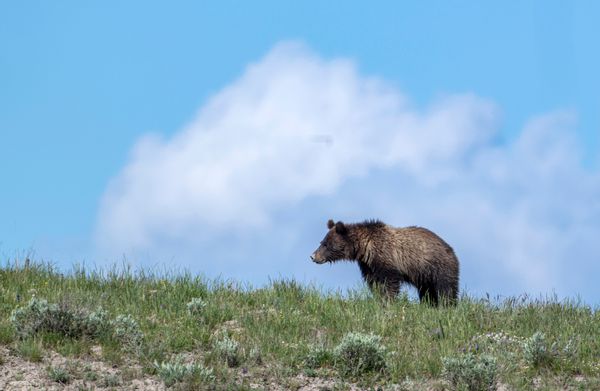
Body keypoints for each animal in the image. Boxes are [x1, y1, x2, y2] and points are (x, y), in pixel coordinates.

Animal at [310, 220, 460, 306]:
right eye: (322, 242)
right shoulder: (368, 266)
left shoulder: (387, 259)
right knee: (427, 292)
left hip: (438, 267)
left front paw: (388, 301)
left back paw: (447, 305)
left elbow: (389, 283)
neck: (365, 249)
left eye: (325, 244)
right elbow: (375, 284)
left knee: (446, 288)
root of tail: (450, 248)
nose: (312, 256)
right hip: (424, 276)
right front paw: (379, 299)